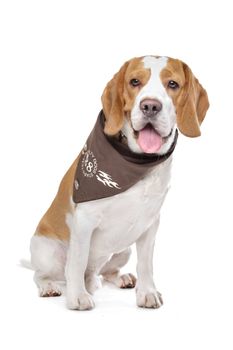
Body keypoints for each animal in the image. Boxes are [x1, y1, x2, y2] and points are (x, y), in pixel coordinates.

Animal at [29, 56, 209, 310]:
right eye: (134, 81)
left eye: (173, 84)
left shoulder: (150, 223)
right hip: (47, 251)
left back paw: (120, 278)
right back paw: (51, 287)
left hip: (123, 249)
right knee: (45, 274)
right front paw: (77, 296)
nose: (150, 106)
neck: (135, 161)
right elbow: (77, 262)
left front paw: (147, 292)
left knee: (105, 272)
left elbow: (146, 264)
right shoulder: (84, 221)